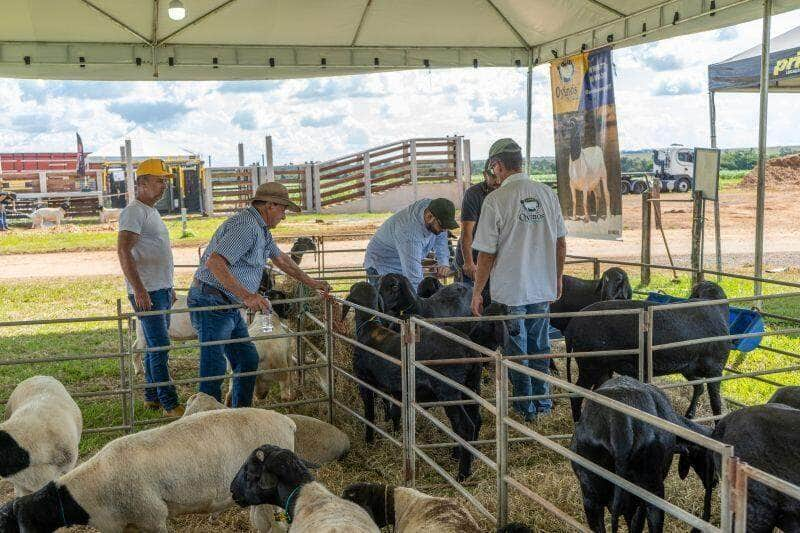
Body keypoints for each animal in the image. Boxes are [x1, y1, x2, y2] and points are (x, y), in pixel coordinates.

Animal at [564, 280, 732, 422]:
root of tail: (571, 326)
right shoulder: (716, 368)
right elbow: (716, 405)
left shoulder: (699, 367)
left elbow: (704, 392)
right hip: (590, 365)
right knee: (576, 395)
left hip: (603, 368)